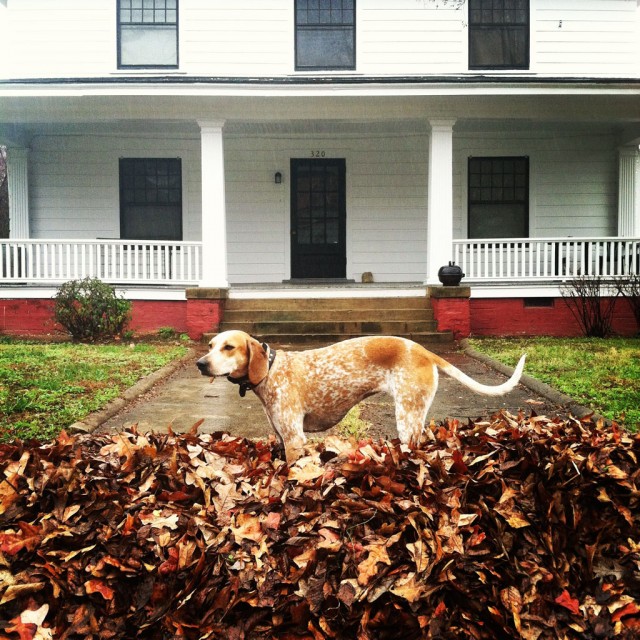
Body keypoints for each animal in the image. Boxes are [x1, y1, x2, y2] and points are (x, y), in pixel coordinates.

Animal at [196, 332, 524, 462]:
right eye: (211, 345)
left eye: (229, 347)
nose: (200, 363)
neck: (271, 369)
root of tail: (424, 351)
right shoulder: (281, 436)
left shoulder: (294, 439)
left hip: (407, 418)